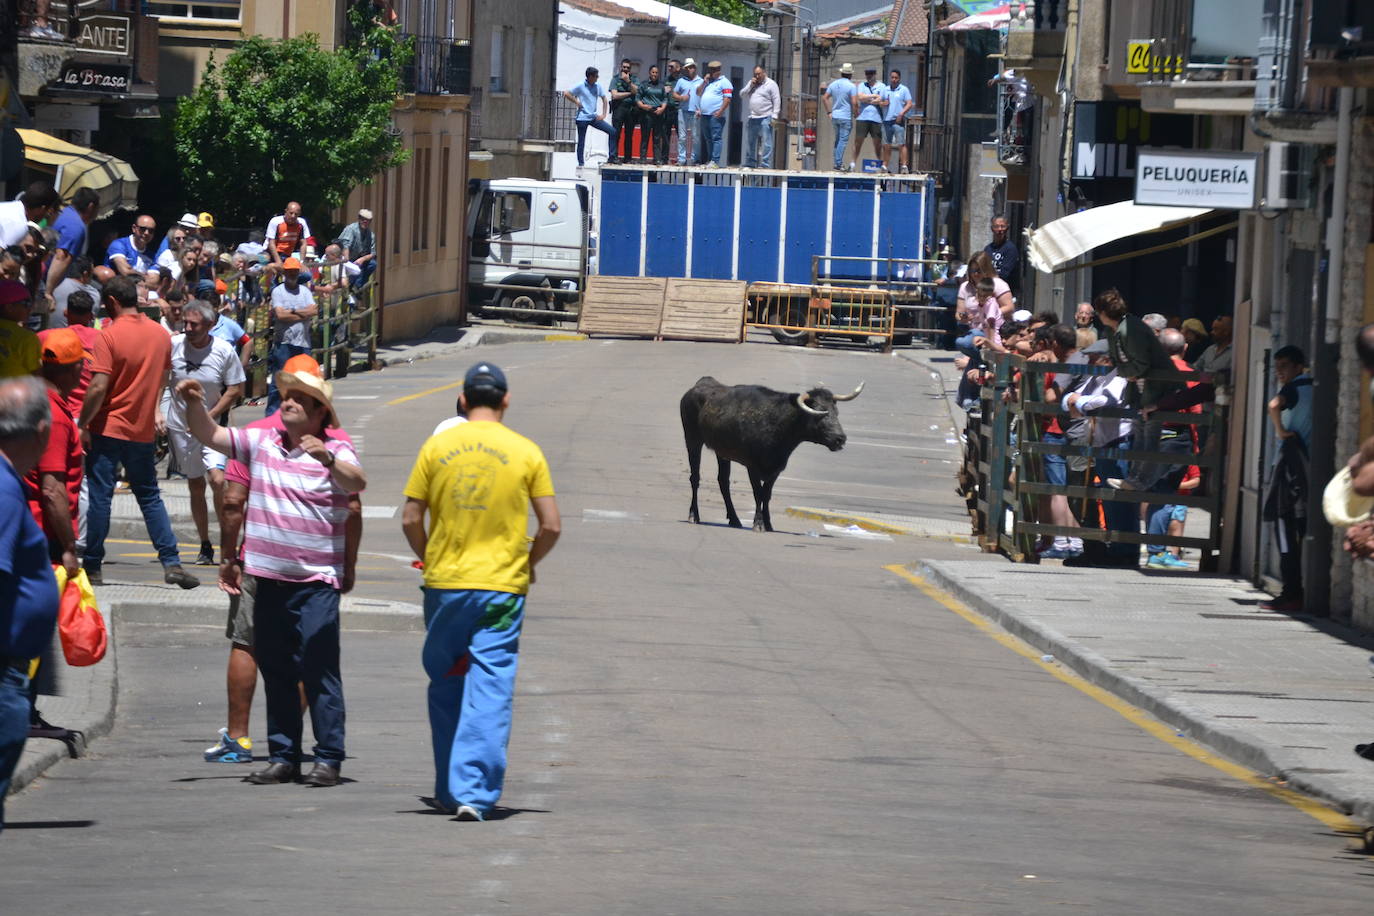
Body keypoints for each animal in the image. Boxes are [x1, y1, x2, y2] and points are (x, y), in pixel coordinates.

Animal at [681, 379, 862, 532]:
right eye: (819, 413)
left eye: (836, 411)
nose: (840, 438)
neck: (777, 423)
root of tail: (699, 384)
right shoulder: (752, 466)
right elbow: (758, 494)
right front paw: (758, 524)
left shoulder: (776, 468)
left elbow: (767, 495)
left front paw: (768, 524)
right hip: (692, 440)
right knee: (695, 477)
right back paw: (694, 515)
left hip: (722, 452)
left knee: (723, 481)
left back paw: (735, 519)